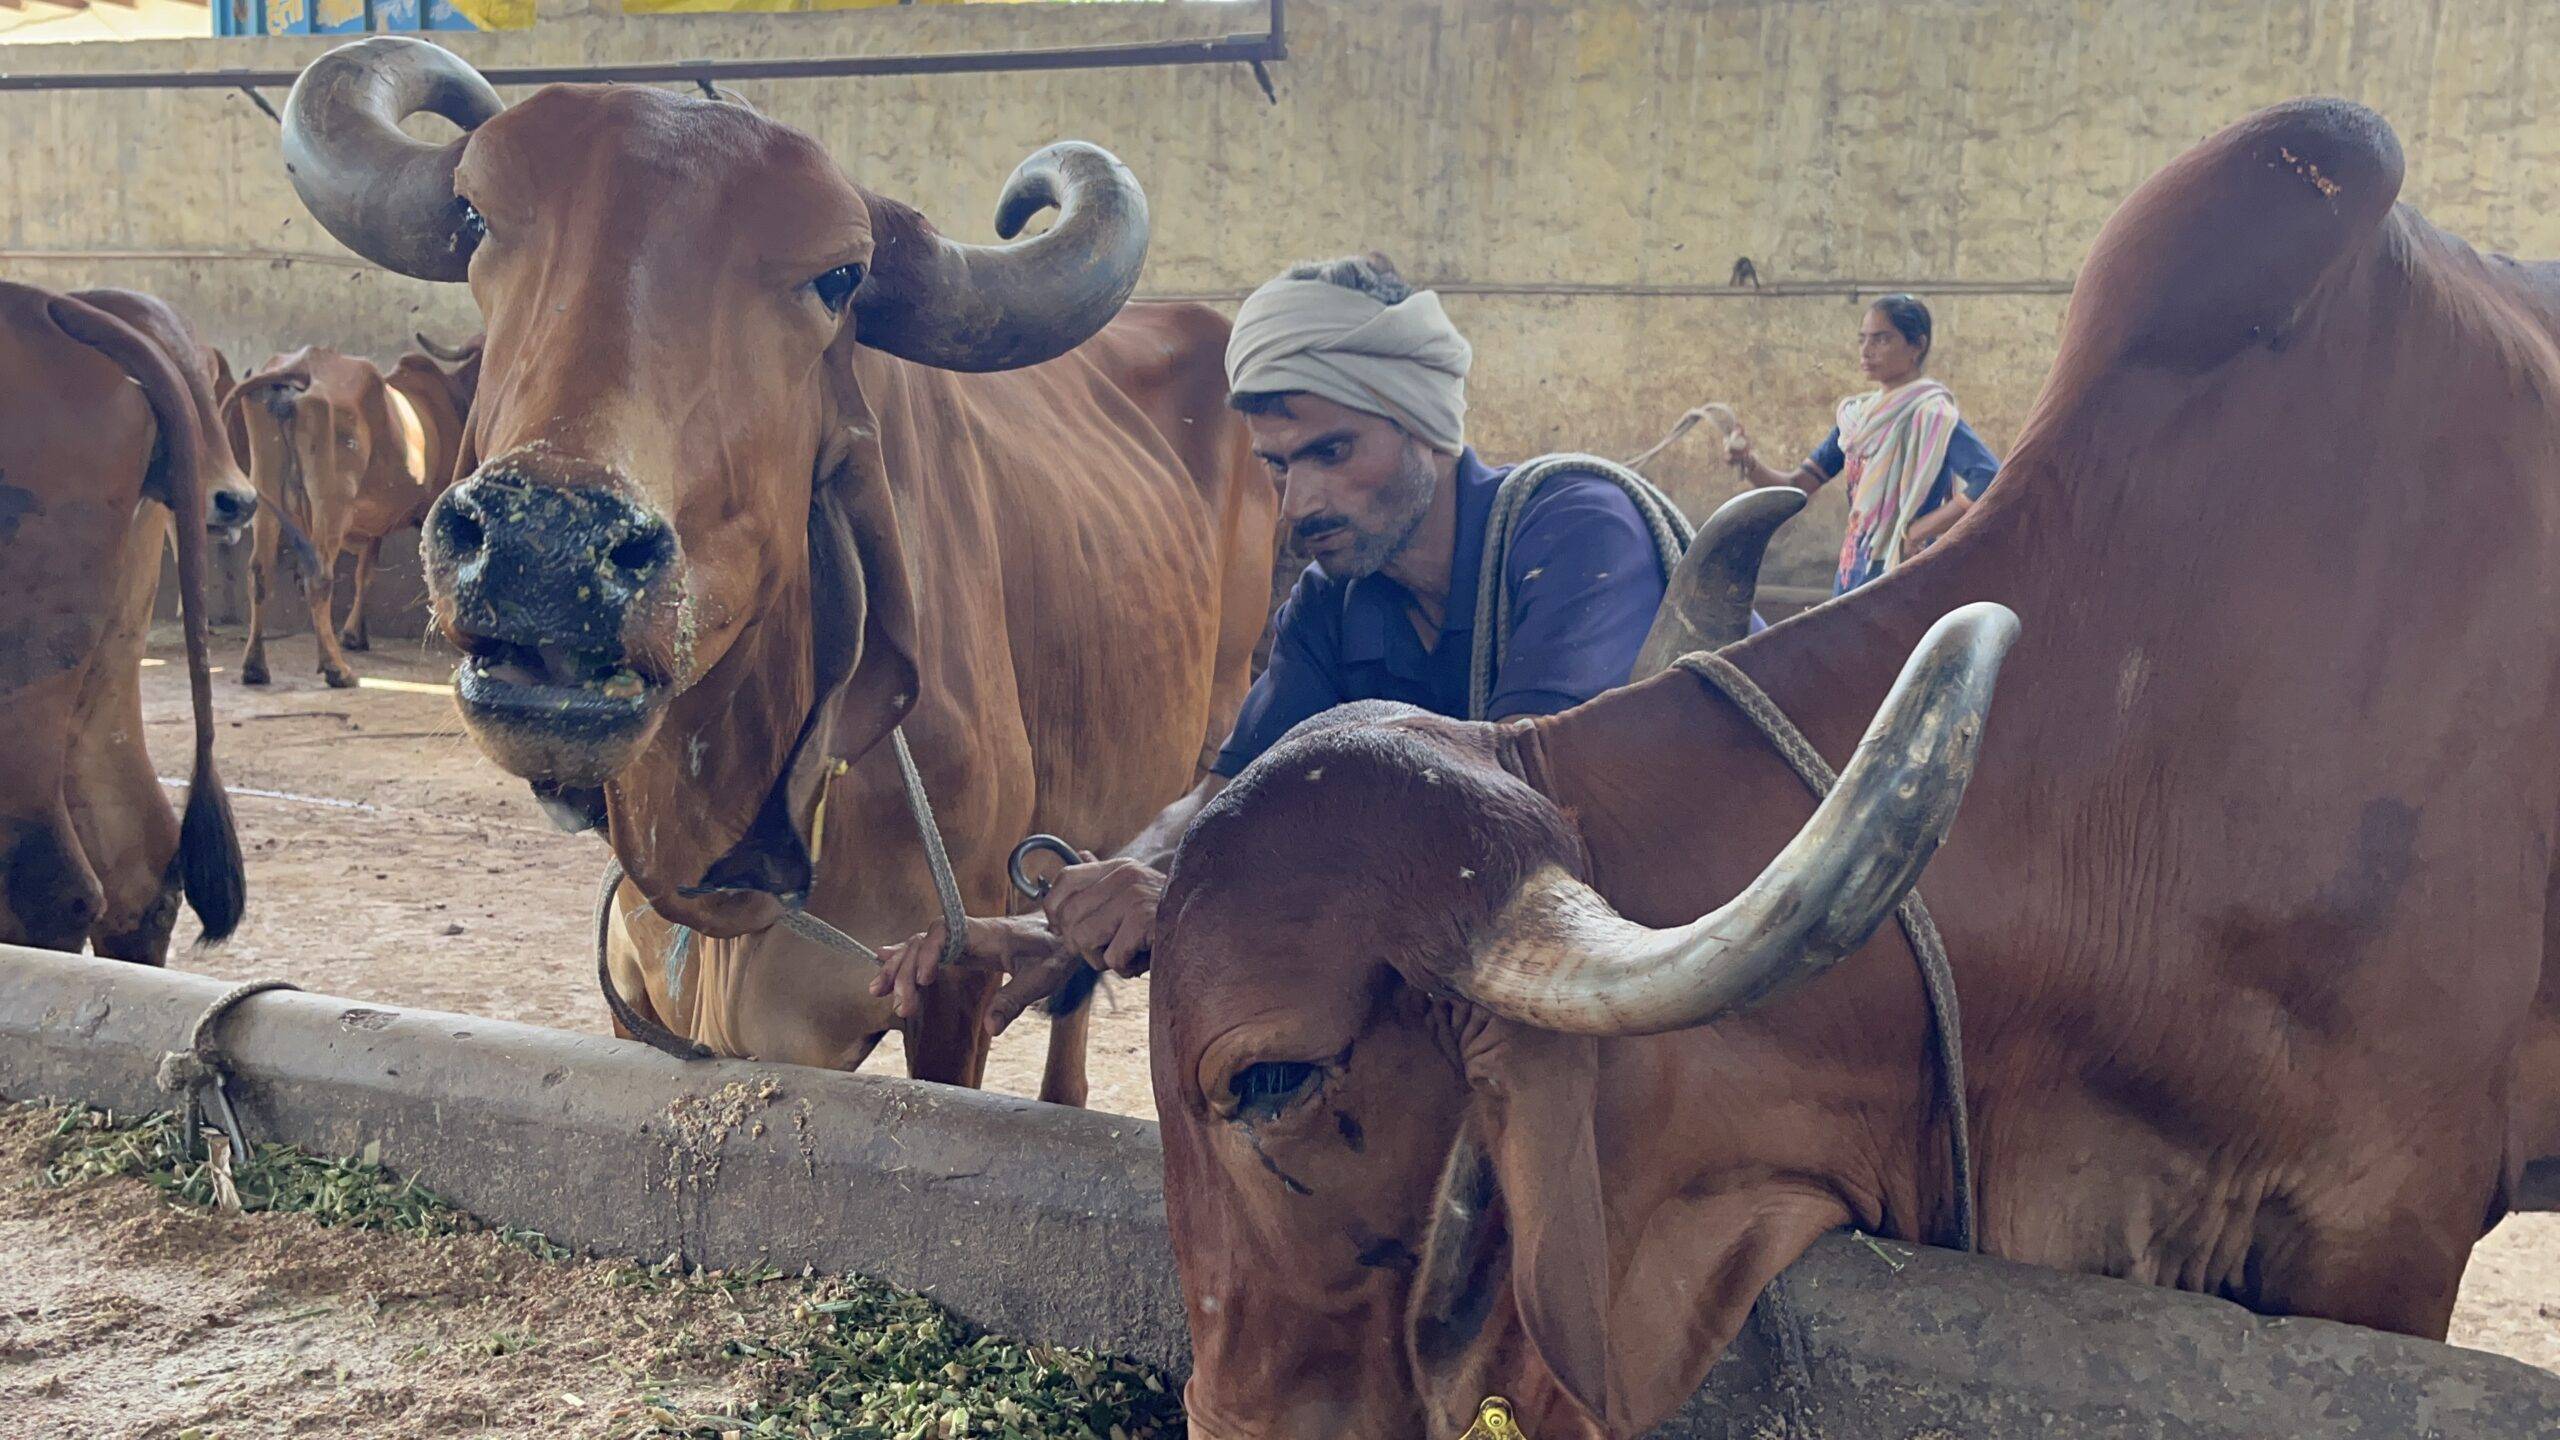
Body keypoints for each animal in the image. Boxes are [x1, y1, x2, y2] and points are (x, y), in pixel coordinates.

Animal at [235, 330, 488, 681]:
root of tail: (302, 366)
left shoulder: (374, 521)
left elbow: (364, 573)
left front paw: (355, 634)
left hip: (267, 489)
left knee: (259, 571)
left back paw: (255, 665)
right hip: (332, 501)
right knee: (319, 577)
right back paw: (335, 667)